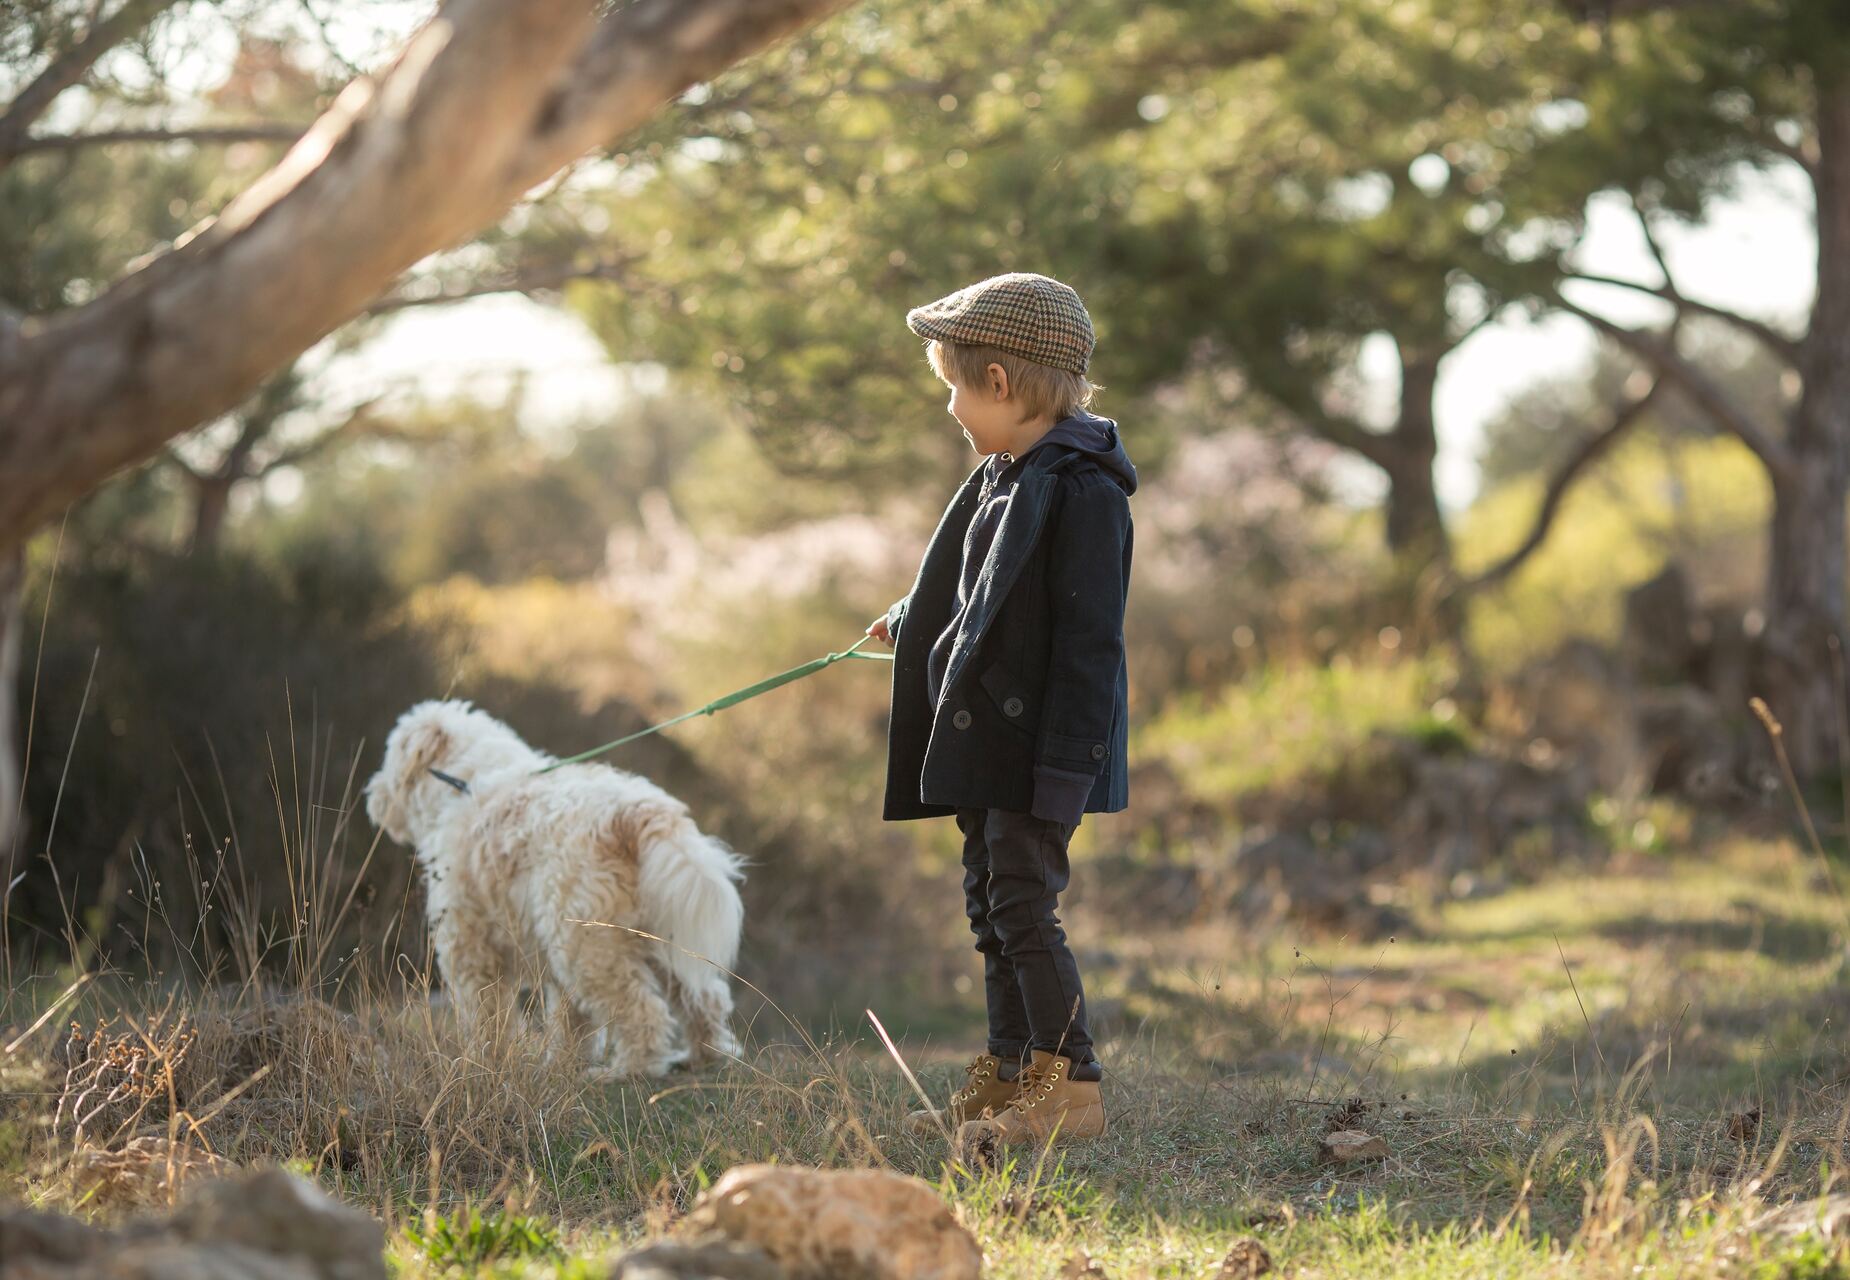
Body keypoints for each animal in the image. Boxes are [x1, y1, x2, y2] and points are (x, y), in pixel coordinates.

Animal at [364, 699, 747, 1080]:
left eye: (389, 758)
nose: (372, 795)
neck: (463, 781)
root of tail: (633, 813)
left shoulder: (471, 948)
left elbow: (487, 1012)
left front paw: (483, 1059)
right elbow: (572, 1023)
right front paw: (563, 1065)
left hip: (588, 948)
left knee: (642, 1011)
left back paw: (627, 1070)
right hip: (657, 940)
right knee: (704, 999)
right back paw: (703, 1056)